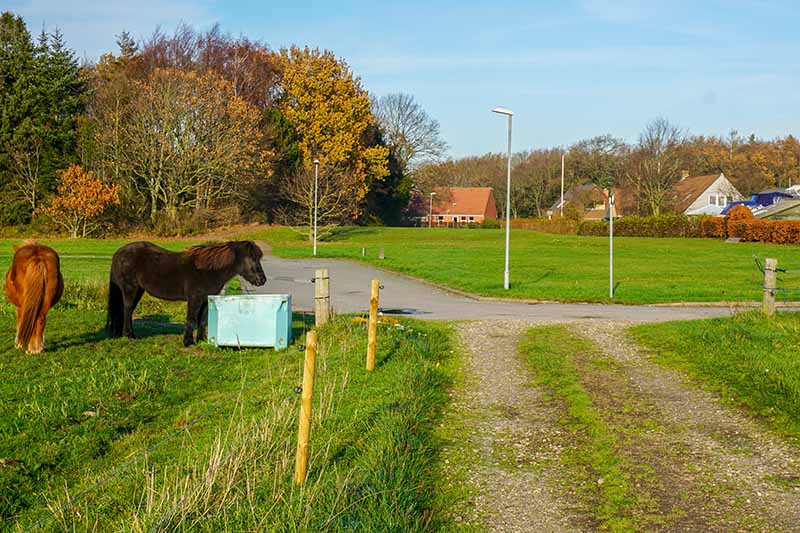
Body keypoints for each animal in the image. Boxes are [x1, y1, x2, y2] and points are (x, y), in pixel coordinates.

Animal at [104, 240, 268, 344]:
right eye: (251, 258)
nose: (262, 280)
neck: (207, 270)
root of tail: (118, 253)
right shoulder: (194, 299)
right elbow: (191, 319)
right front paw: (188, 342)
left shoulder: (205, 300)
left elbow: (202, 320)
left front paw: (201, 340)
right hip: (130, 289)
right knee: (127, 309)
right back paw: (129, 335)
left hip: (139, 290)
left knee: (129, 311)